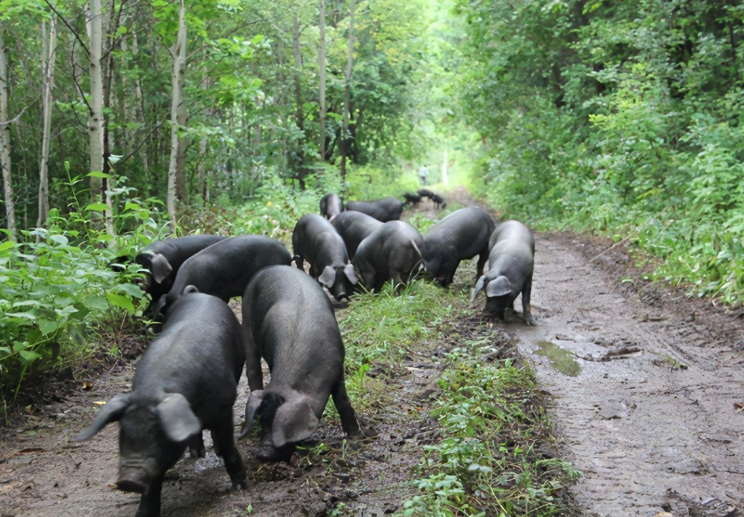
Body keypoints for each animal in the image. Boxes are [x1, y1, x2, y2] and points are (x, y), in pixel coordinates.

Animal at [77, 290, 248, 516]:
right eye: (123, 433)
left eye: (159, 434)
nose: (128, 480)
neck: (156, 388)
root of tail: (198, 293)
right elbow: (155, 479)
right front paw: (143, 514)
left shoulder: (224, 408)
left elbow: (228, 447)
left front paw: (241, 487)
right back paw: (197, 453)